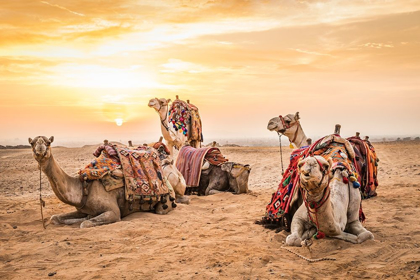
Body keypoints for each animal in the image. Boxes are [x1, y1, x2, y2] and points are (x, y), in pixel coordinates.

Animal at [28, 137, 172, 229]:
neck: (82, 188)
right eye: (32, 143)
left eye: (48, 143)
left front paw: (86, 219)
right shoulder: (81, 209)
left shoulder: (113, 212)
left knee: (160, 210)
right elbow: (54, 218)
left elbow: (85, 224)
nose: (40, 150)